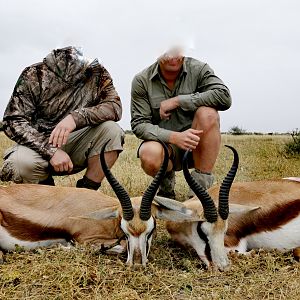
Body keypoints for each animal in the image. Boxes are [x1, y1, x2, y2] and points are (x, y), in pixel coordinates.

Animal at [0, 141, 198, 264]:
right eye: (125, 231)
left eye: (151, 229)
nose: (136, 263)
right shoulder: (84, 238)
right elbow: (117, 247)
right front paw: (62, 247)